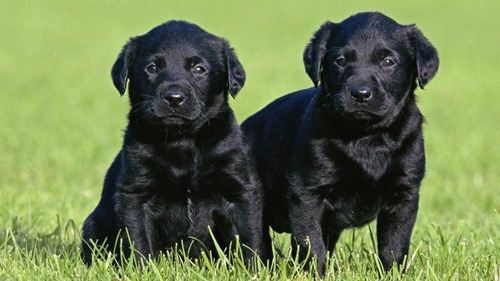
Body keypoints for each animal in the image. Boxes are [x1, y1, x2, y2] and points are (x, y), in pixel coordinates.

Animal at [81, 20, 266, 264]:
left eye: (199, 69)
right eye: (152, 68)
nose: (174, 98)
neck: (181, 140)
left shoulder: (238, 191)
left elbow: (249, 239)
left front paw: (252, 268)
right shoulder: (136, 195)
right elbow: (140, 243)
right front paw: (145, 269)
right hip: (93, 228)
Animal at [240, 12, 440, 272]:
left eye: (388, 61)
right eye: (341, 61)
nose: (361, 94)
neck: (366, 137)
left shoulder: (404, 195)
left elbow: (394, 245)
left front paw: (393, 273)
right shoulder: (307, 195)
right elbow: (311, 244)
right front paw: (313, 273)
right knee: (254, 242)